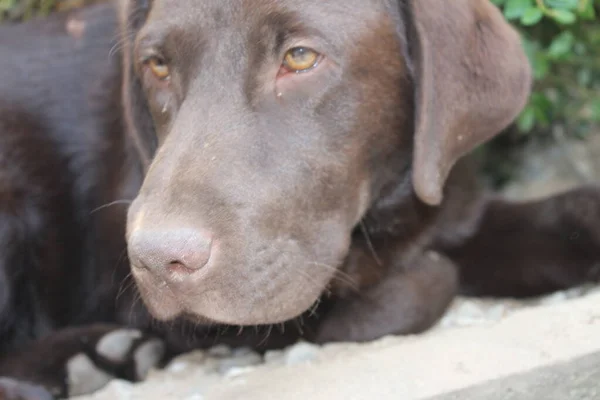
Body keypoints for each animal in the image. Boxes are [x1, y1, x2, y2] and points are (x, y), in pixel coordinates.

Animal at [0, 0, 596, 396]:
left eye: (302, 56)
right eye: (158, 65)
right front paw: (423, 275)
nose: (154, 260)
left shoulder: (451, 206)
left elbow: (561, 214)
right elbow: (410, 290)